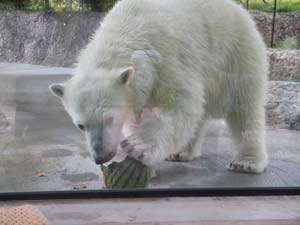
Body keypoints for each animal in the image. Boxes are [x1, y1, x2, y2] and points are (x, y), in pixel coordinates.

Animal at [50, 0, 268, 174]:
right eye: (80, 125)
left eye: (109, 118)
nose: (100, 157)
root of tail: (239, 9)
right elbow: (136, 118)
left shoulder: (165, 58)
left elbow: (182, 103)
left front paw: (137, 147)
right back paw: (181, 152)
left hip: (234, 53)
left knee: (243, 108)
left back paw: (246, 162)